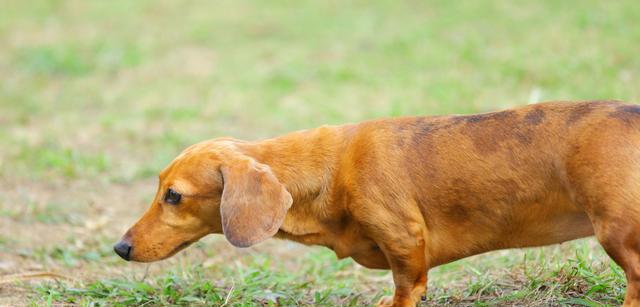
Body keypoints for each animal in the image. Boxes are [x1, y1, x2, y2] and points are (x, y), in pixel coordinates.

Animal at [114, 100, 640, 306]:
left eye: (174, 196)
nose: (120, 248)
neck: (330, 168)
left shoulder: (404, 240)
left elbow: (408, 286)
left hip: (616, 232)